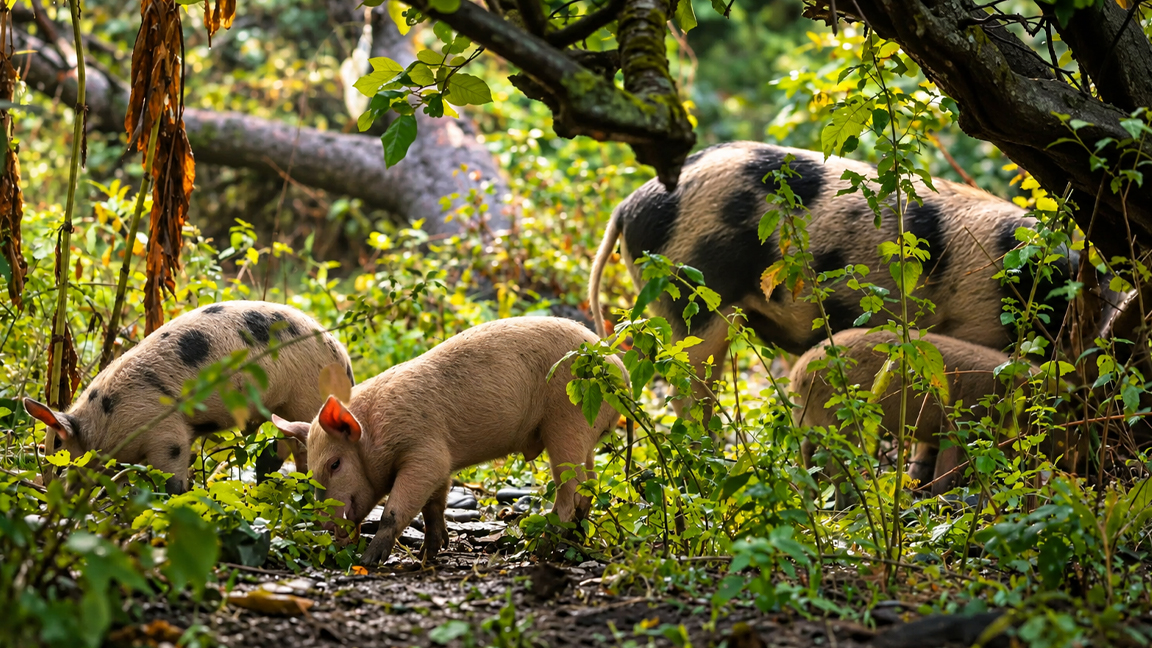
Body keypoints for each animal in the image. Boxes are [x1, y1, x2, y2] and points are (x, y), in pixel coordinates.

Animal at [23, 300, 355, 494]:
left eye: (62, 460)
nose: (50, 493)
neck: (105, 419)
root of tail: (343, 356)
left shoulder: (164, 432)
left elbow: (172, 472)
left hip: (309, 398)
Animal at [270, 316, 628, 565]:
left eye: (335, 464)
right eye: (312, 471)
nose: (324, 526)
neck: (374, 432)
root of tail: (618, 368)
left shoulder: (425, 452)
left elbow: (396, 508)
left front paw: (370, 560)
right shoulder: (441, 464)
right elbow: (434, 505)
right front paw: (430, 553)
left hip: (567, 421)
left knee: (571, 489)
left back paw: (541, 548)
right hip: (584, 437)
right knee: (588, 486)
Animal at [790, 328, 1082, 507]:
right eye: (1066, 420)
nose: (1077, 469)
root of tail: (798, 374)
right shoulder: (957, 426)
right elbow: (944, 473)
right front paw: (941, 497)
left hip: (811, 424)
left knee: (809, 456)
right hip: (842, 424)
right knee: (835, 466)